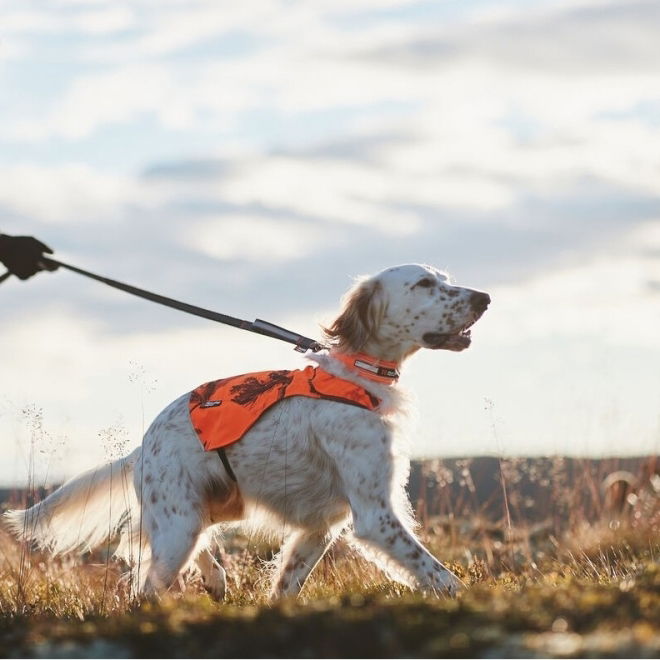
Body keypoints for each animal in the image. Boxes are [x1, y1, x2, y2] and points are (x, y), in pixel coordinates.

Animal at [5, 262, 490, 600]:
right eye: (423, 284)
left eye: (444, 279)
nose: (484, 297)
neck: (359, 375)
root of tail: (140, 448)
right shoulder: (375, 514)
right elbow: (437, 573)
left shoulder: (320, 526)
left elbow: (287, 584)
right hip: (177, 529)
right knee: (145, 584)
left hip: (203, 512)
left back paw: (216, 579)